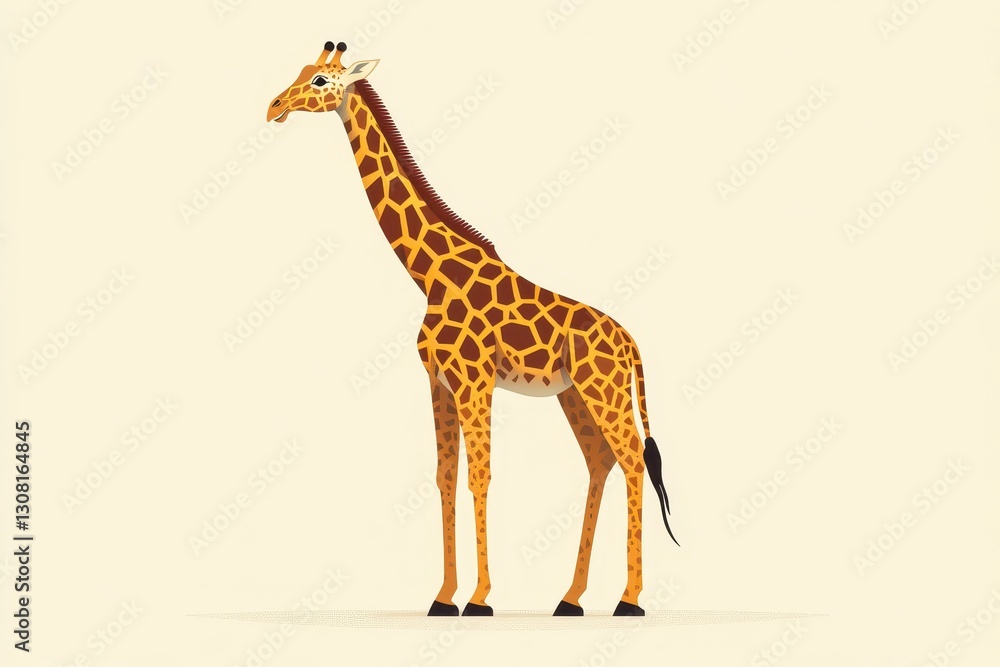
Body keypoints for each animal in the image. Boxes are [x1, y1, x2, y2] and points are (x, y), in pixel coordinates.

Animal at [267, 41, 679, 617]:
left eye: (322, 80)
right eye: (304, 71)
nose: (274, 106)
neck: (430, 275)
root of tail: (632, 344)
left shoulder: (473, 380)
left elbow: (479, 477)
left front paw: (481, 599)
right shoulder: (438, 382)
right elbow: (445, 478)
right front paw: (443, 596)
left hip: (606, 391)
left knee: (634, 464)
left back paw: (629, 600)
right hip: (574, 395)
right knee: (601, 463)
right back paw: (570, 598)